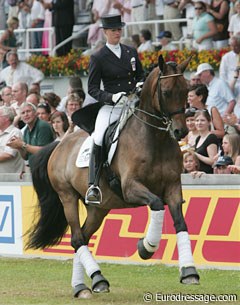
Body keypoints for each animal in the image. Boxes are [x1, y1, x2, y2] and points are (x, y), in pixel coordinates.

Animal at [26, 55, 200, 298]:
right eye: (166, 92)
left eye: (185, 91)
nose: (181, 132)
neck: (154, 139)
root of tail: (59, 144)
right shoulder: (131, 187)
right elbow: (157, 204)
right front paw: (146, 247)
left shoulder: (173, 188)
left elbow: (181, 223)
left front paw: (189, 272)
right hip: (67, 197)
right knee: (77, 238)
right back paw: (94, 281)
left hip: (99, 208)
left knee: (83, 237)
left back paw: (85, 285)